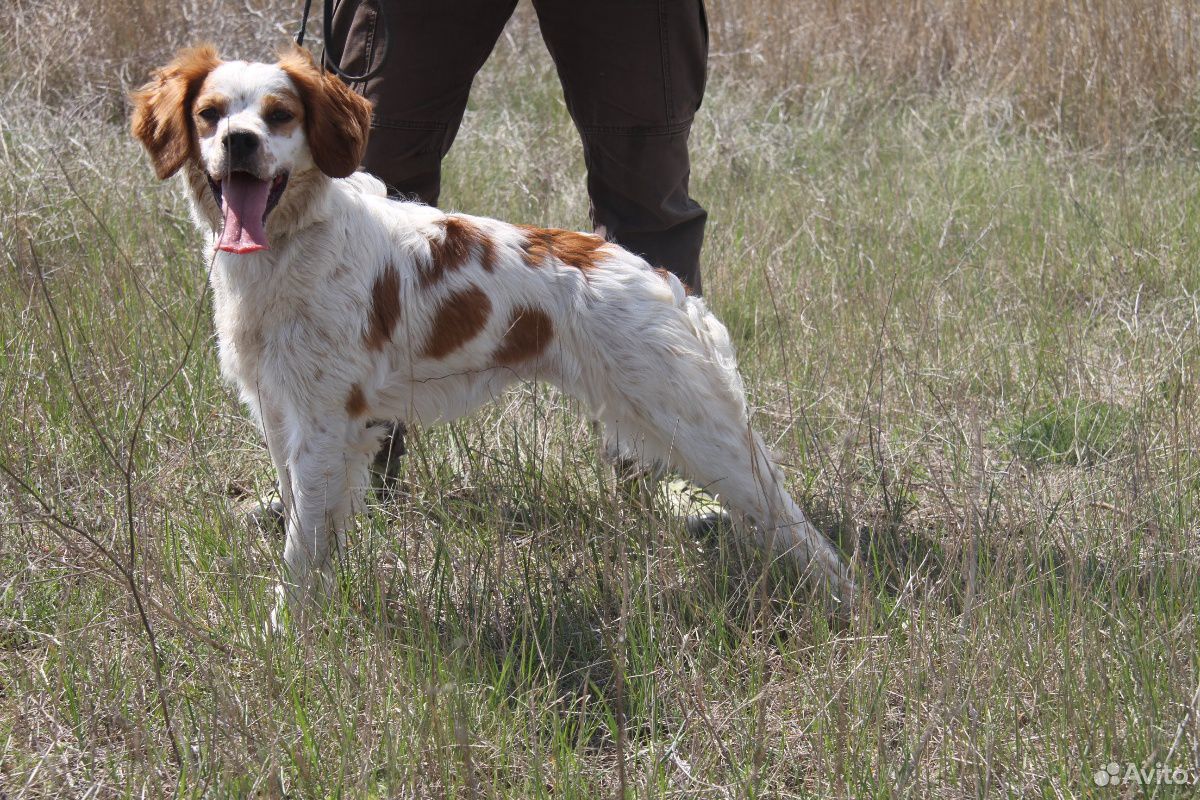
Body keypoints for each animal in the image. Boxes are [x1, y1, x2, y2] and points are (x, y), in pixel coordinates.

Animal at [131, 43, 854, 618]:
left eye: (280, 115)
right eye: (211, 114)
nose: (240, 143)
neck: (291, 245)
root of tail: (658, 276)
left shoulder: (325, 423)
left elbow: (302, 549)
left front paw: (288, 634)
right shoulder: (285, 414)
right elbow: (314, 527)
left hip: (691, 420)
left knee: (792, 520)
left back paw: (845, 604)